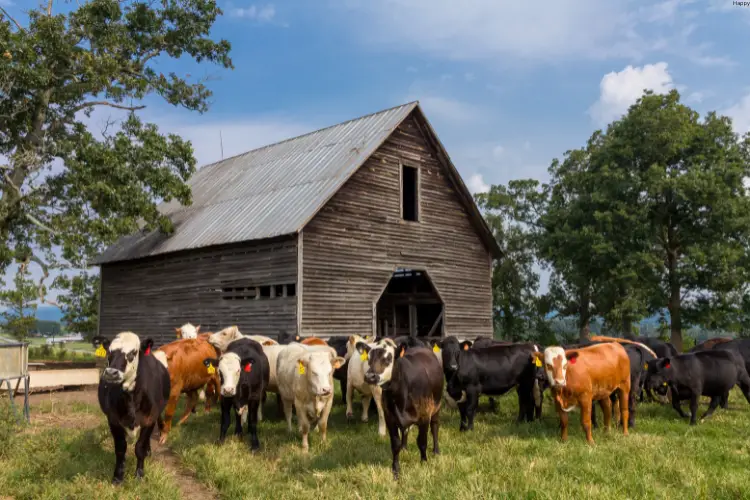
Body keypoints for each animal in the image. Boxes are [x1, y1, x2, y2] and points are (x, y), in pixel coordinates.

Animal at [94, 332, 170, 484]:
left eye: (133, 353)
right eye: (109, 352)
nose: (111, 373)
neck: (130, 398)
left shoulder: (149, 419)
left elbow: (140, 448)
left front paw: (139, 475)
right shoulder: (113, 420)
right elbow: (120, 448)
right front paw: (118, 477)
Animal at [362, 344, 444, 480]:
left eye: (388, 359)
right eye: (368, 359)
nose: (369, 376)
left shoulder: (425, 416)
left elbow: (422, 441)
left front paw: (424, 462)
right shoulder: (390, 418)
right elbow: (395, 445)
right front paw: (395, 470)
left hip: (436, 407)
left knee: (435, 428)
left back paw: (436, 451)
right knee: (405, 431)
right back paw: (404, 448)